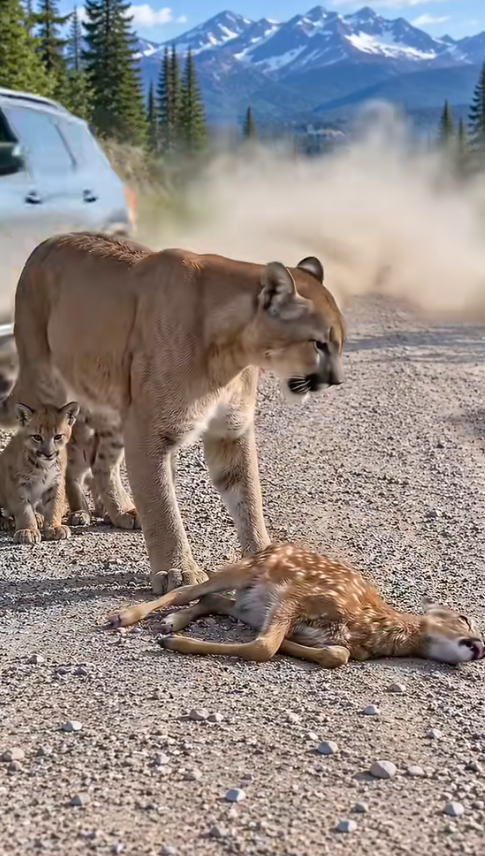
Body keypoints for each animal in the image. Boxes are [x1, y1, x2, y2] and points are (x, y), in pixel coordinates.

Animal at [104, 542, 484, 668]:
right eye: (464, 618)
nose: (481, 647)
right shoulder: (298, 594)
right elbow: (263, 647)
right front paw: (172, 644)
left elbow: (336, 656)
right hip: (249, 568)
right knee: (188, 590)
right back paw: (123, 617)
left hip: (249, 604)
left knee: (213, 599)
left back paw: (173, 623)